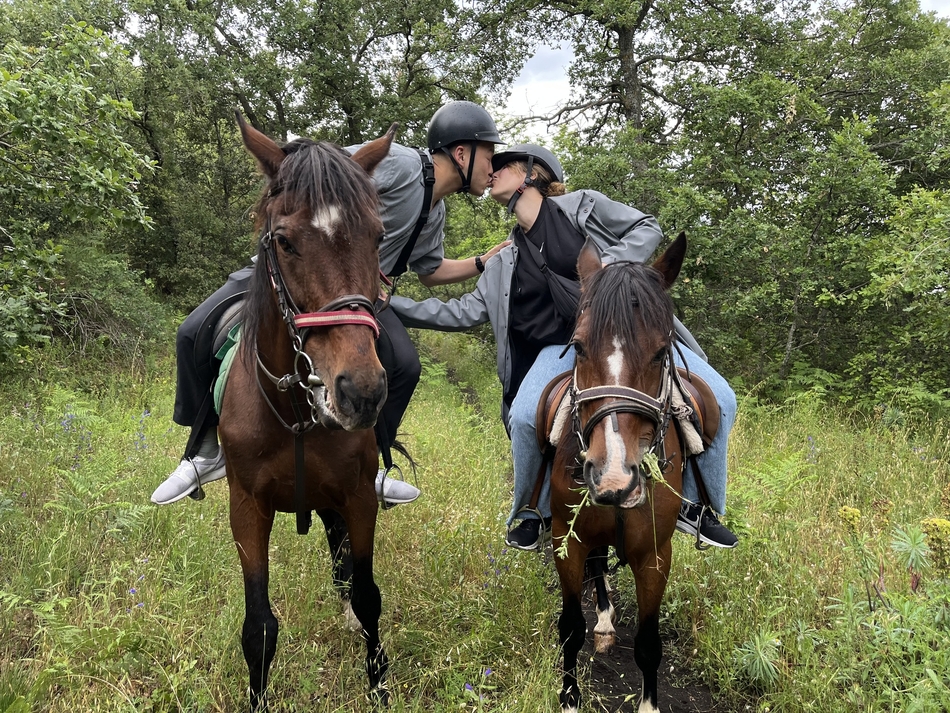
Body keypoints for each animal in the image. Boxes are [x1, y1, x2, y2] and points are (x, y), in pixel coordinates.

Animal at [219, 114, 394, 708]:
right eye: (284, 241)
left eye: (378, 236)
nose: (361, 392)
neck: (294, 410)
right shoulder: (247, 509)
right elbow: (258, 627)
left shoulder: (358, 496)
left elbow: (367, 596)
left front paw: (379, 686)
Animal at [552, 234, 692, 712]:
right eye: (577, 346)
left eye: (662, 351)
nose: (613, 478)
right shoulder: (568, 543)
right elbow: (570, 628)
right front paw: (570, 697)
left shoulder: (654, 556)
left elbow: (649, 644)